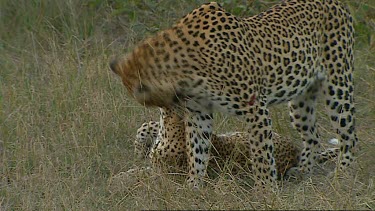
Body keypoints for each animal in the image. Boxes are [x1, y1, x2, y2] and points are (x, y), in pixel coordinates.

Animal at [111, 0, 358, 188]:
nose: (173, 109)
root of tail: (337, 3)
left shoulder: (255, 108)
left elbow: (261, 155)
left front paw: (266, 192)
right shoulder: (199, 112)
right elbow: (197, 150)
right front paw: (193, 187)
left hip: (337, 85)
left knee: (350, 136)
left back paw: (341, 175)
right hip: (300, 102)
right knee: (313, 137)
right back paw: (303, 170)